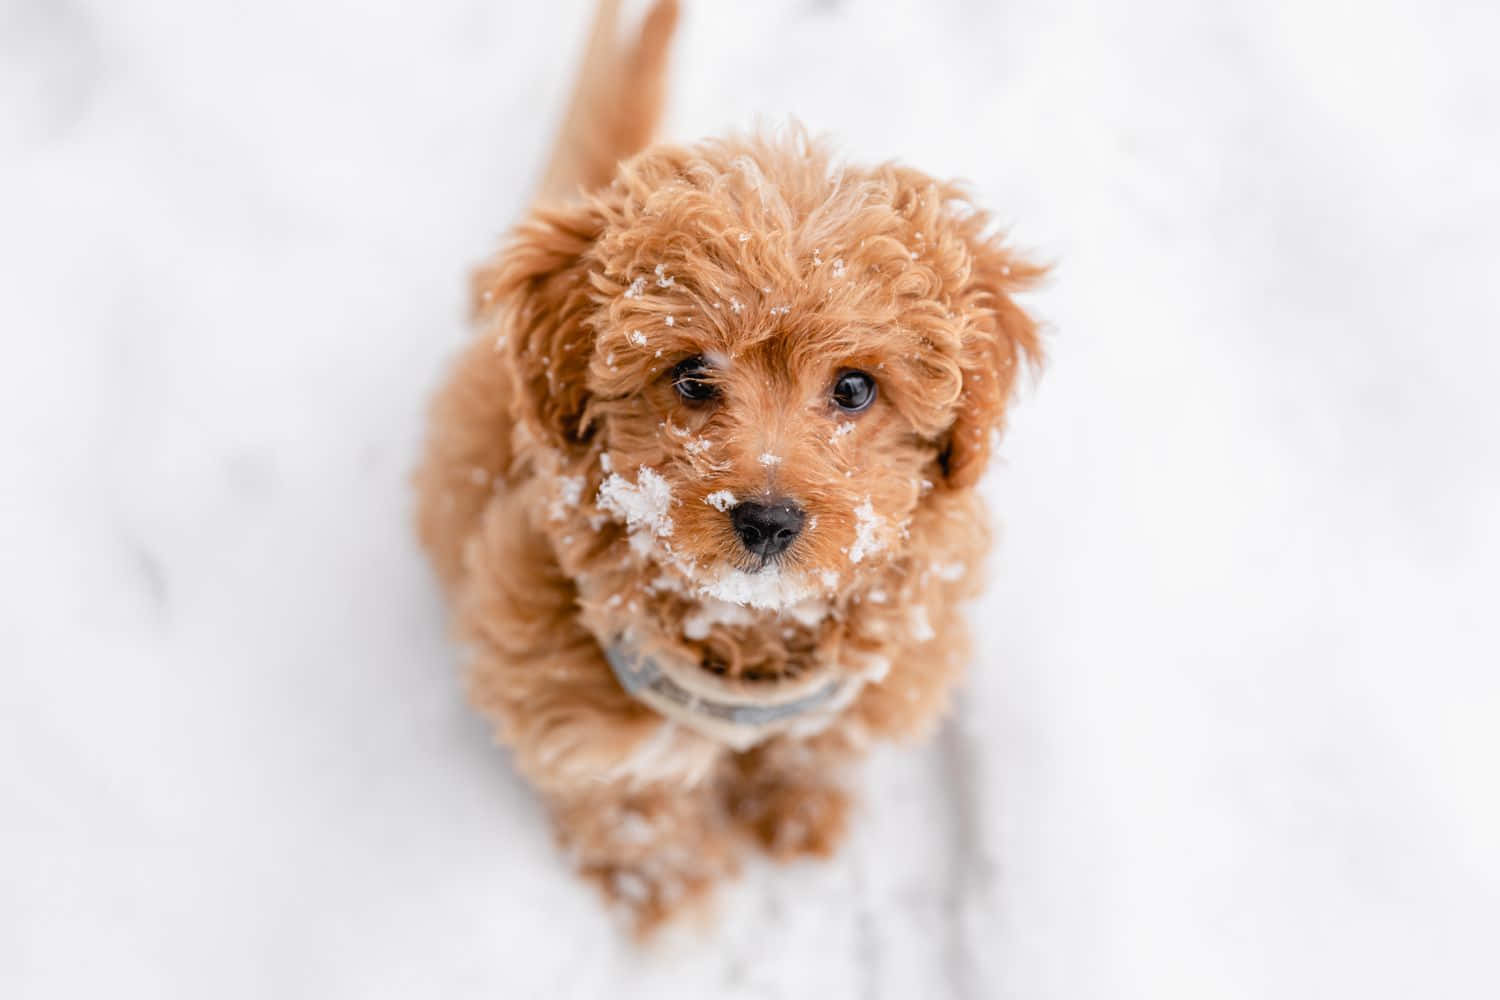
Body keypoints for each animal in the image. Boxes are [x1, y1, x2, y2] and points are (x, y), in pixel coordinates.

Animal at [414, 0, 1044, 935]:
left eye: (854, 388)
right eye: (691, 376)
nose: (769, 519)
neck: (746, 635)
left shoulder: (870, 678)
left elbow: (815, 751)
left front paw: (800, 817)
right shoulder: (568, 691)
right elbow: (633, 806)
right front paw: (670, 900)